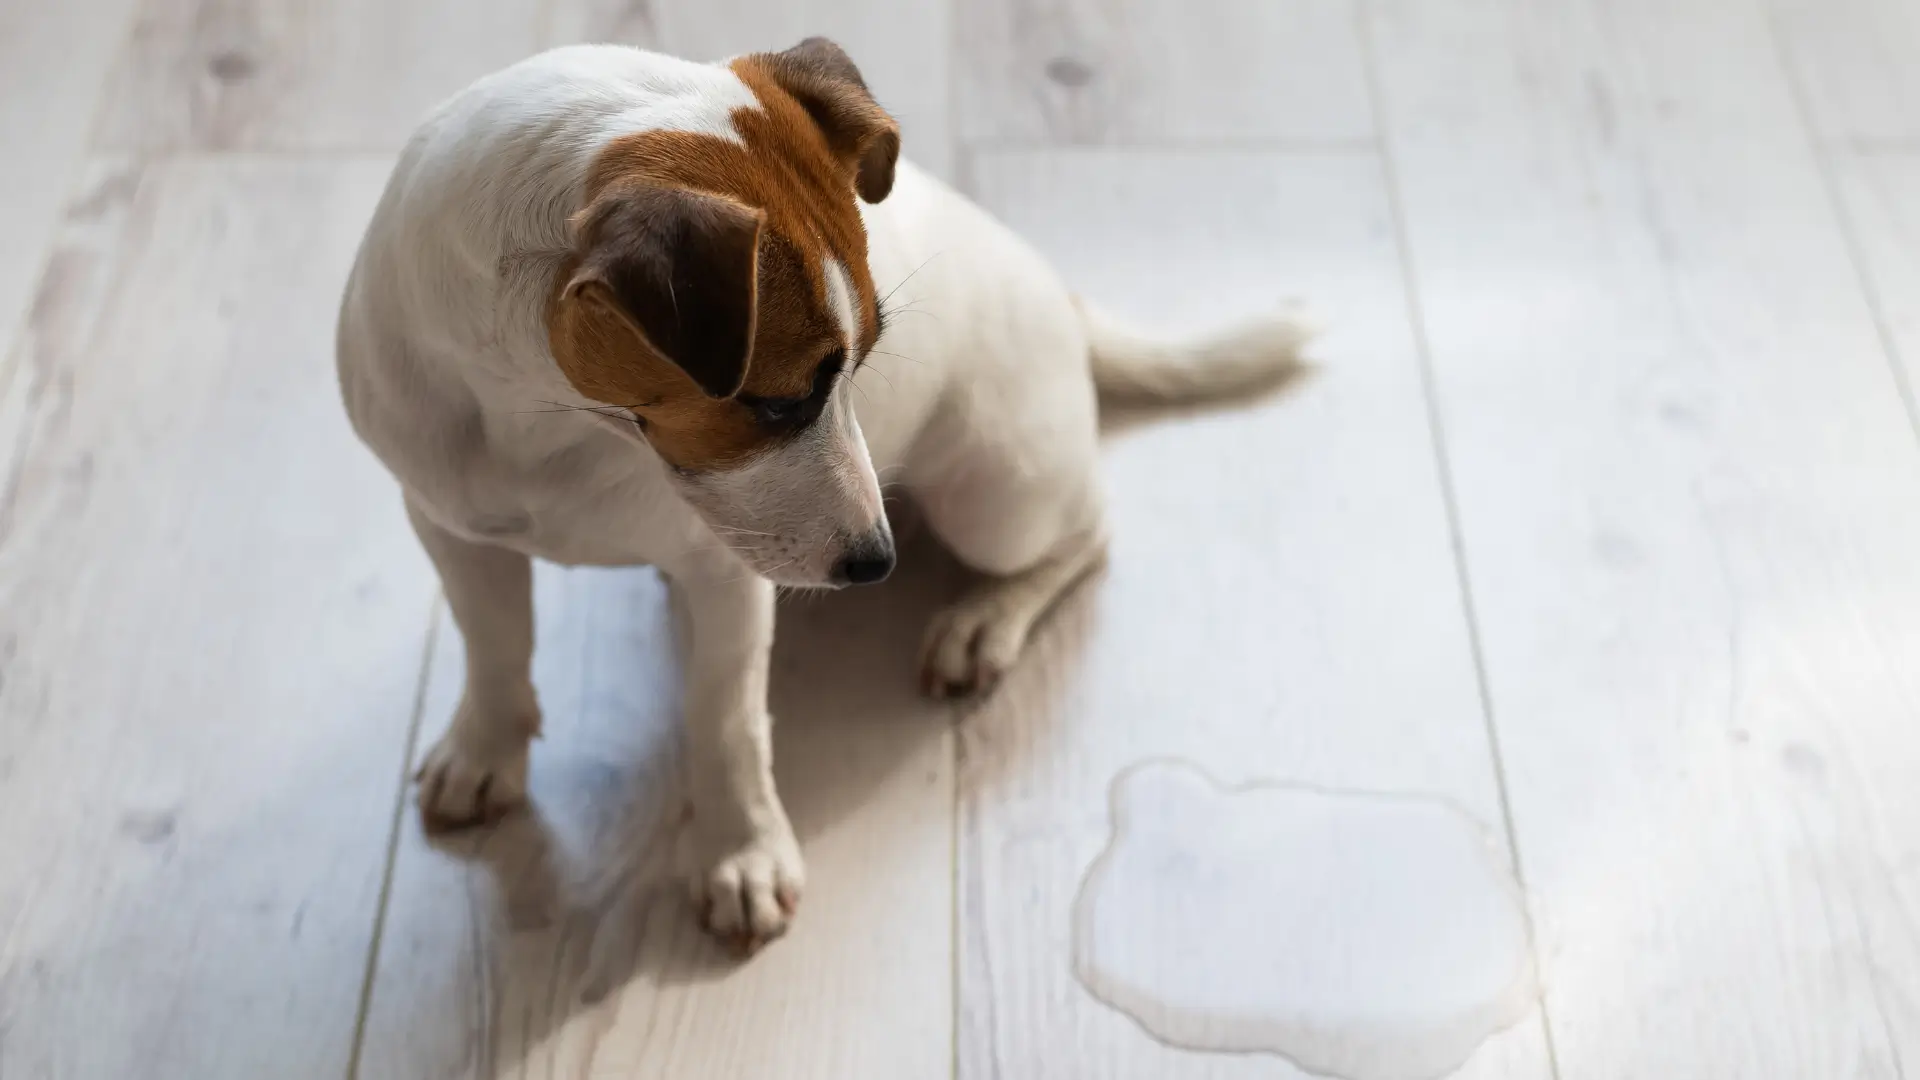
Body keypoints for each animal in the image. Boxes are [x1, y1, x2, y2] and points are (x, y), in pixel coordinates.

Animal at [337, 37, 1313, 945]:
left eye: (862, 361)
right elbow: (494, 644)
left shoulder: (728, 580)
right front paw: (485, 748)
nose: (875, 563)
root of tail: (1063, 299)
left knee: (1087, 533)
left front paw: (742, 852)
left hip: (994, 501)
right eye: (779, 400)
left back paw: (985, 622)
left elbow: (724, 720)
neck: (547, 413)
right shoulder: (450, 526)